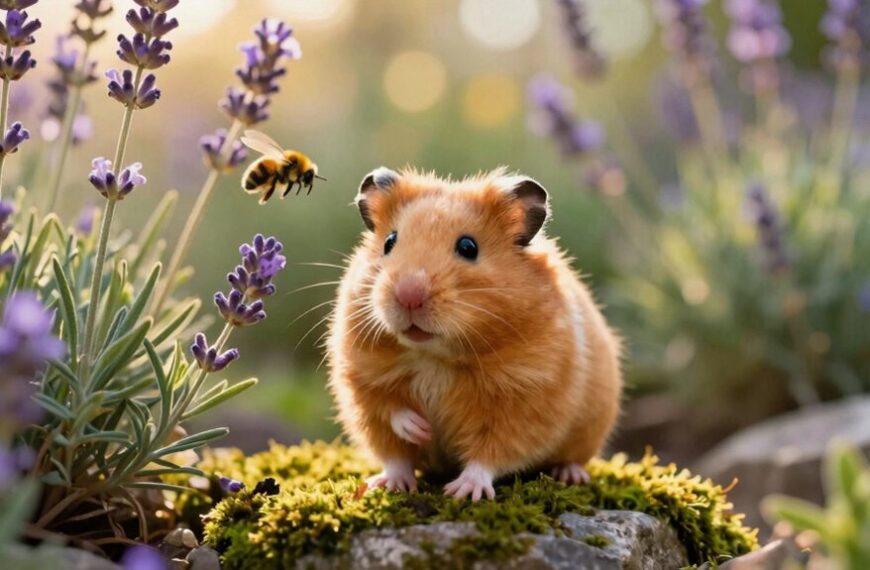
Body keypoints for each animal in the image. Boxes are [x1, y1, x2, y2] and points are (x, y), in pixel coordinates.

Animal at [326, 167, 622, 501]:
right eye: (390, 241)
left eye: (468, 247)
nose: (408, 296)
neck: (434, 356)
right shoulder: (362, 382)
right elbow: (392, 418)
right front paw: (421, 430)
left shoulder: (524, 400)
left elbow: (490, 453)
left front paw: (462, 491)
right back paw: (390, 483)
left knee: (571, 458)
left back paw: (570, 475)